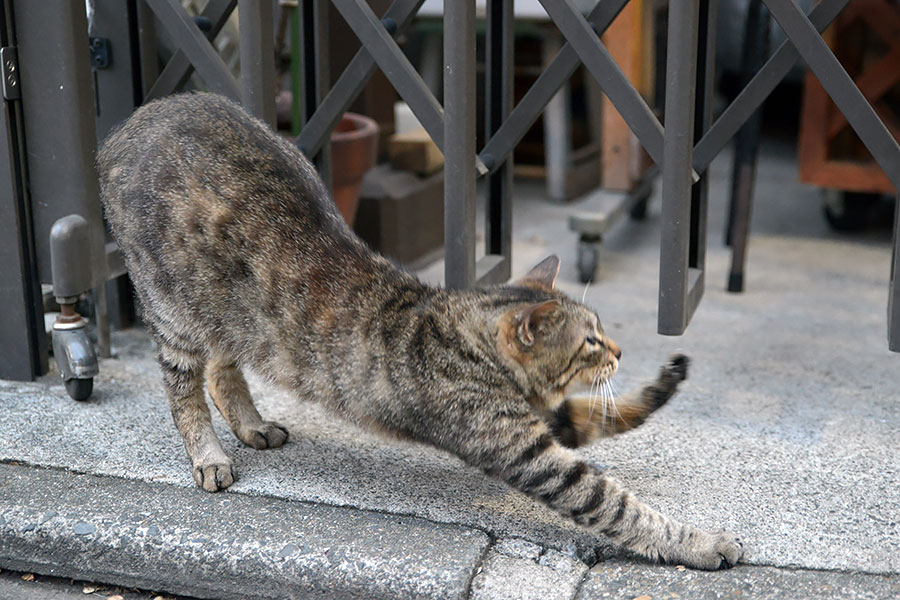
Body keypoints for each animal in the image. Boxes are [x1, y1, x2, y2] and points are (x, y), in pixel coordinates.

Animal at [100, 92, 744, 568]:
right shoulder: (525, 449)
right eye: (590, 341)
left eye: (603, 332)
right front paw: (702, 543)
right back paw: (209, 455)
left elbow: (605, 415)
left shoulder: (543, 422)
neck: (462, 336)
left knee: (222, 366)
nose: (619, 349)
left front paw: (663, 385)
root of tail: (127, 126)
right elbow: (619, 507)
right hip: (173, 312)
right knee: (186, 387)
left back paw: (252, 425)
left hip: (229, 315)